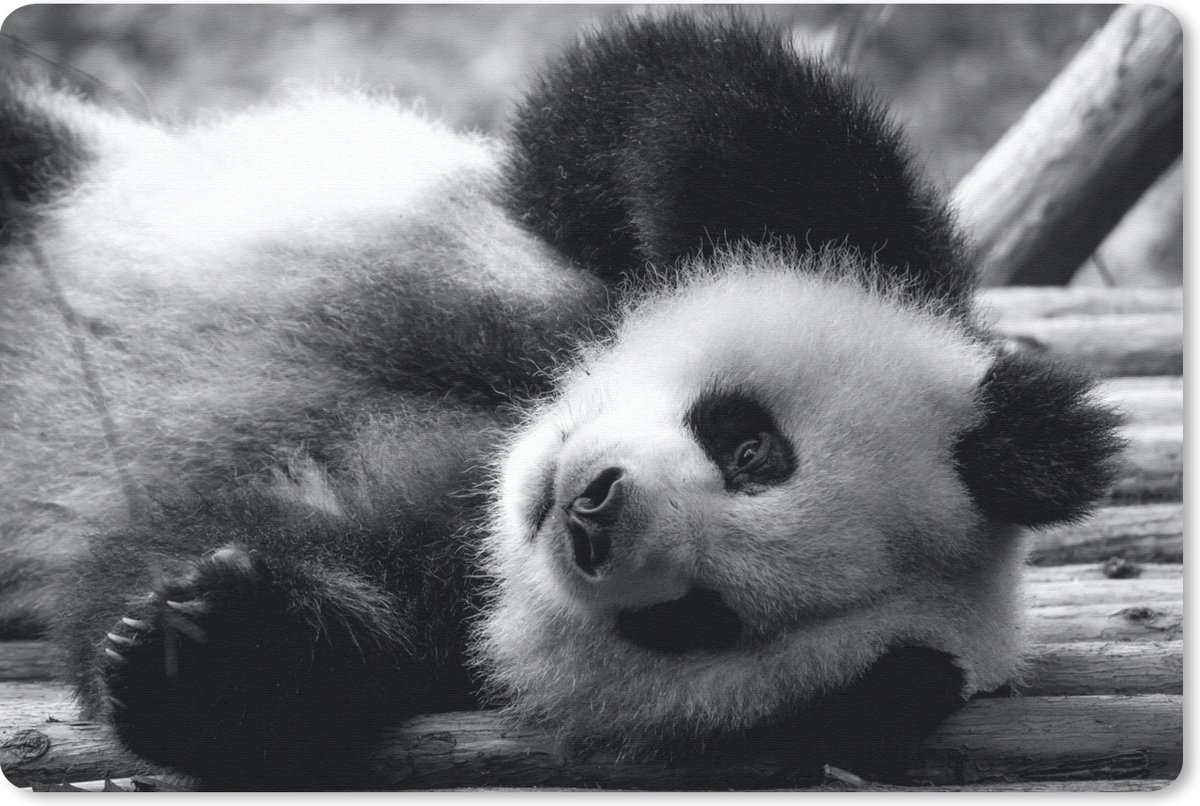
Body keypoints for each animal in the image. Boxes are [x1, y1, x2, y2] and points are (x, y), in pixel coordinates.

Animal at [0, 13, 1122, 790]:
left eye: (695, 619)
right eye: (751, 447)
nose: (591, 509)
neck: (495, 449)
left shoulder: (445, 593)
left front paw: (207, 644)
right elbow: (691, 104)